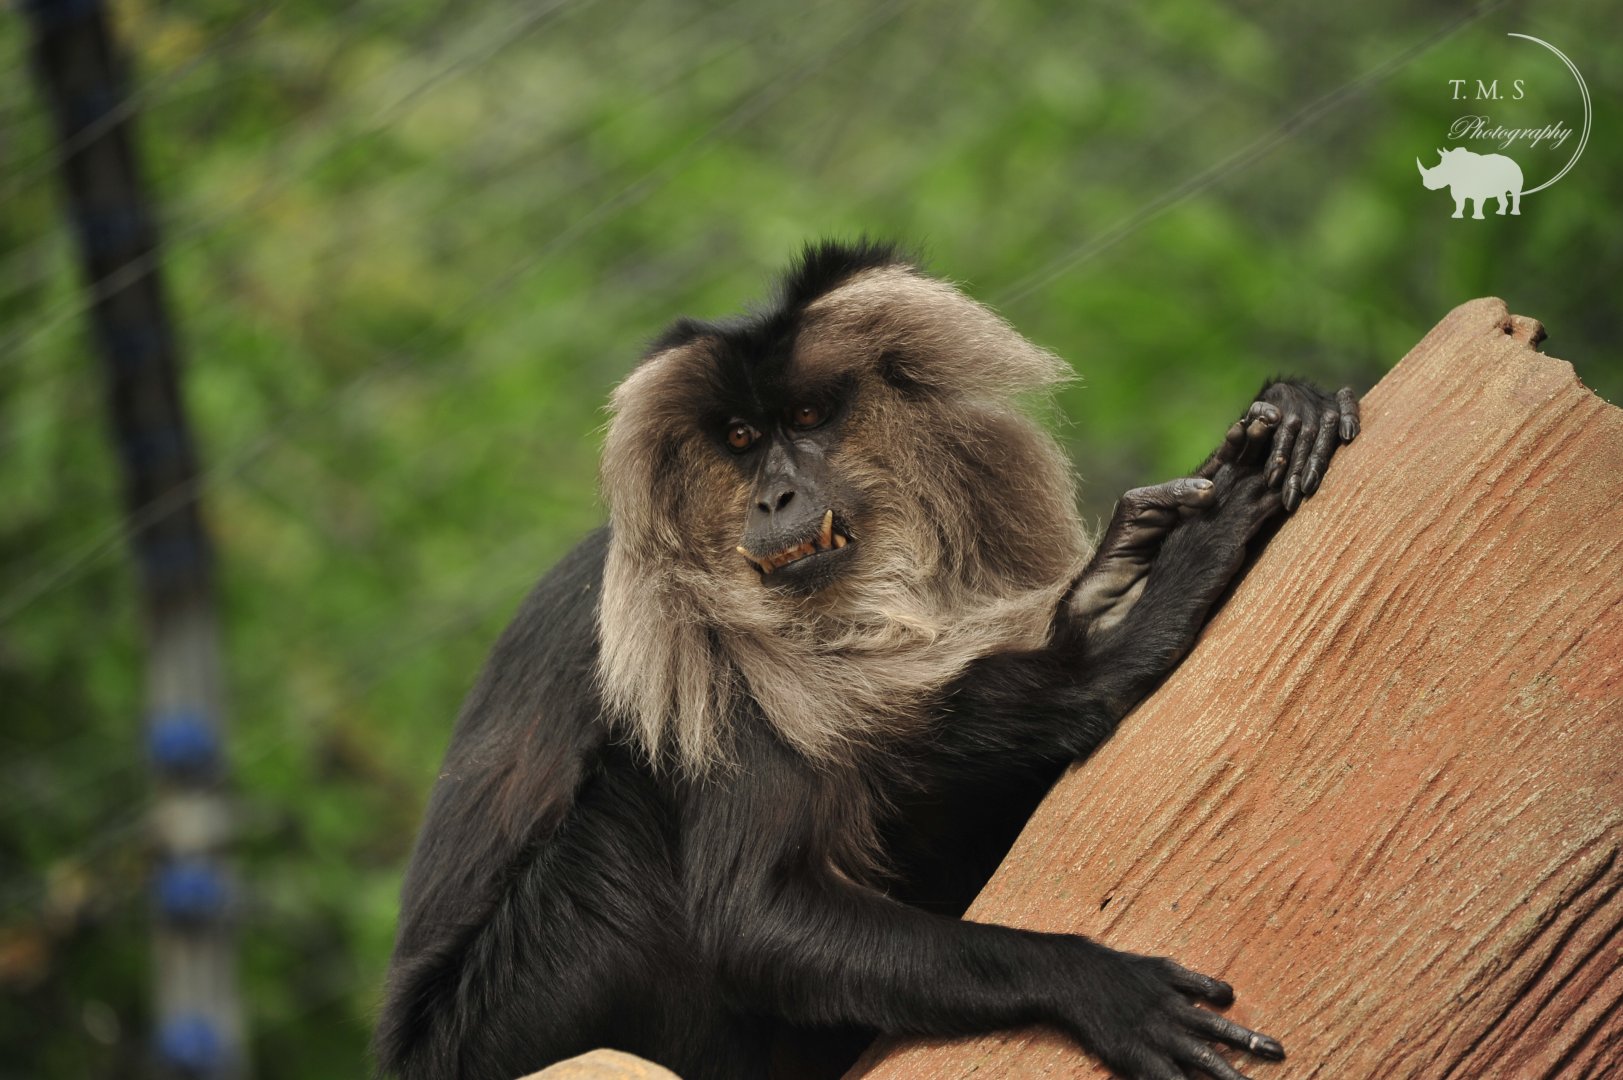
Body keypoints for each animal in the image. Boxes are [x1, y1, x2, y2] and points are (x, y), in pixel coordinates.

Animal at [373, 240, 1359, 1080]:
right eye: (739, 440)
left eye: (808, 417)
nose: (776, 495)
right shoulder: (702, 647)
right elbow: (754, 919)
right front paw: (1101, 984)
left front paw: (1264, 431)